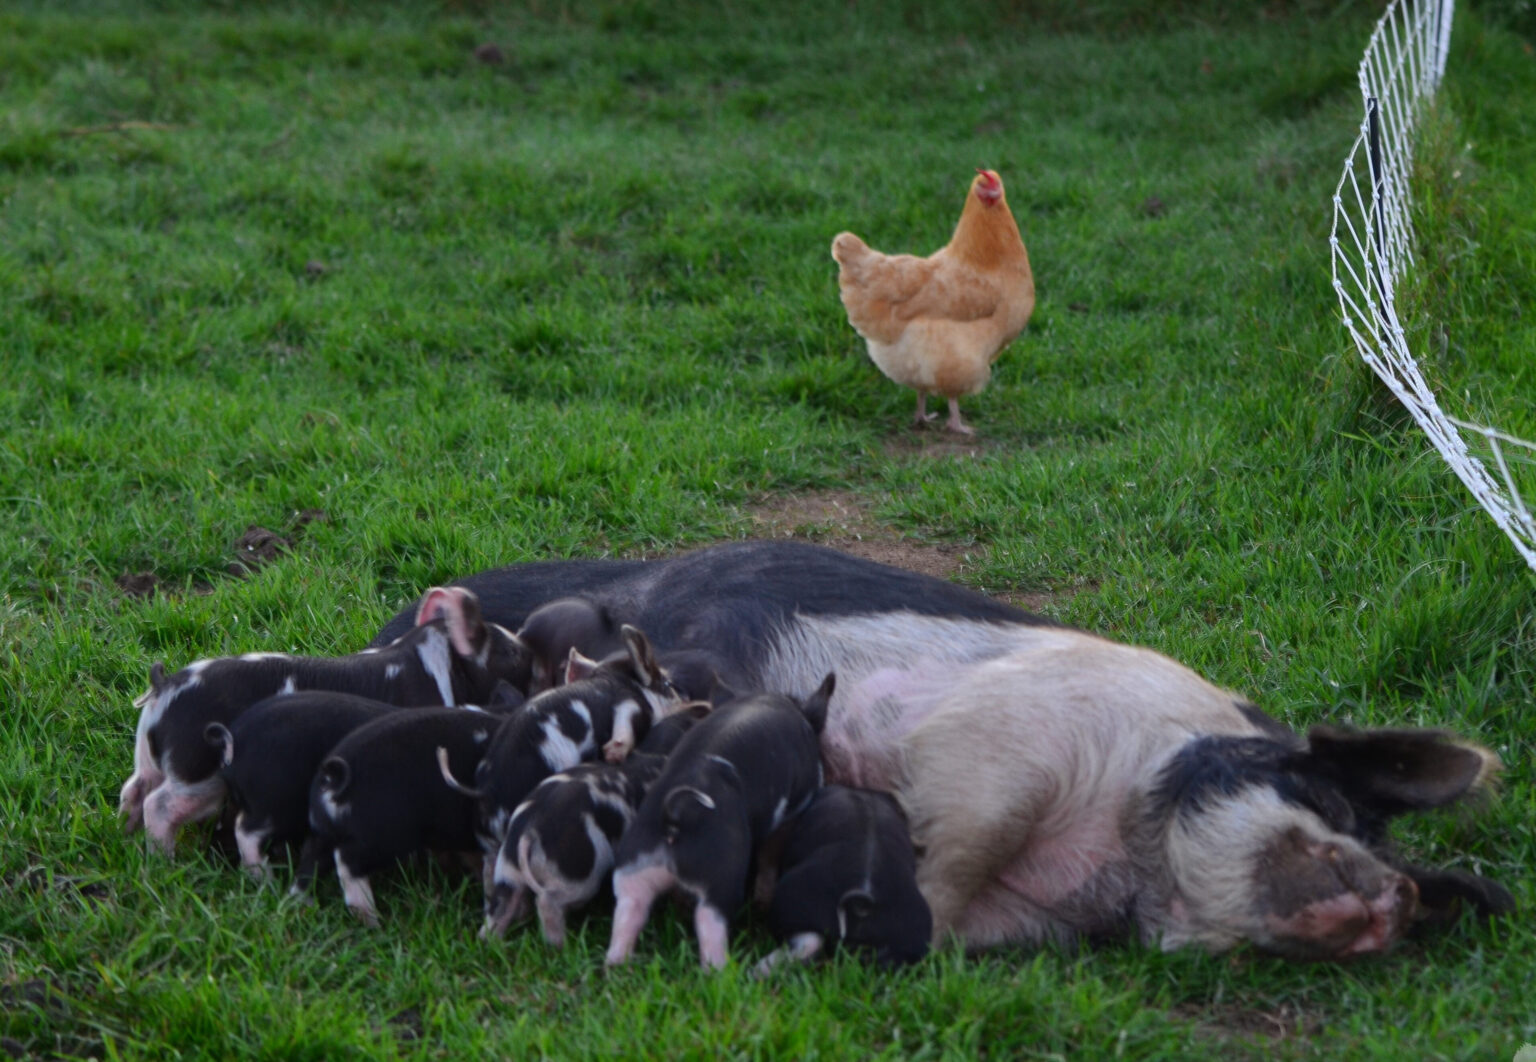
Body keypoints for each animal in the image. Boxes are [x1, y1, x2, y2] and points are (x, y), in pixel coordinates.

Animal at [121, 585, 532, 856]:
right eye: (510, 653)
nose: (530, 649)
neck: (437, 667)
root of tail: (165, 688)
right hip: (196, 768)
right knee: (159, 805)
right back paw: (165, 858)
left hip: (150, 759)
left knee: (134, 789)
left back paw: (128, 833)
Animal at [306, 705, 503, 926]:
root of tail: (331, 780)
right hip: (385, 834)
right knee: (348, 864)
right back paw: (373, 921)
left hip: (324, 833)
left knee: (312, 858)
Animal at [481, 703, 712, 946]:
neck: (656, 754)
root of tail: (528, 831)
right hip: (577, 870)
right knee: (548, 901)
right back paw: (560, 945)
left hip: (508, 868)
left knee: (501, 904)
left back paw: (490, 941)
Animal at [604, 674, 835, 970]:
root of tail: (676, 815)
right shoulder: (794, 808)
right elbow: (770, 854)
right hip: (720, 879)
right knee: (711, 931)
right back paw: (724, 970)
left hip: (634, 865)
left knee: (628, 913)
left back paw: (619, 965)